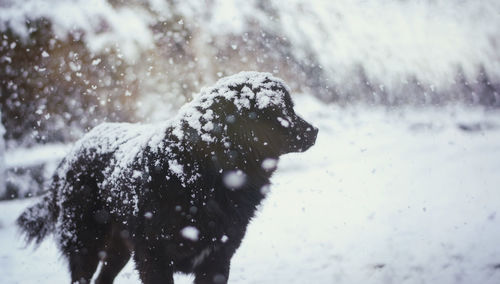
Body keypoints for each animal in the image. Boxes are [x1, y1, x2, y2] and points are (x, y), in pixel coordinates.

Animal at [17, 71, 318, 284]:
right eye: (284, 109)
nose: (314, 130)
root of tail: (75, 149)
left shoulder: (218, 259)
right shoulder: (154, 257)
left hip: (119, 249)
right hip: (86, 243)